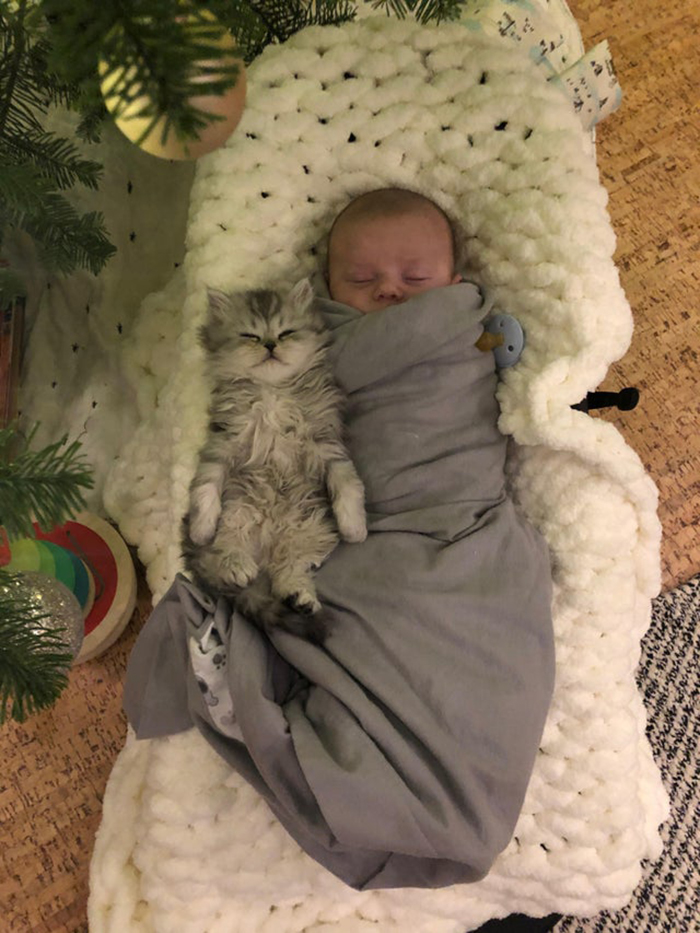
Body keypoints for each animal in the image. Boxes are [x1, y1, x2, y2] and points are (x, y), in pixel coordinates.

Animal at [180, 274, 366, 640]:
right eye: (250, 336)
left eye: (285, 333)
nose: (269, 345)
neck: (272, 393)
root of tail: (266, 552)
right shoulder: (222, 444)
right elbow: (205, 488)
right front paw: (201, 528)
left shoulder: (327, 443)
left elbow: (348, 483)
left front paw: (355, 527)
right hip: (238, 512)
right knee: (228, 552)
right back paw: (238, 567)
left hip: (309, 529)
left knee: (289, 570)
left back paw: (299, 597)